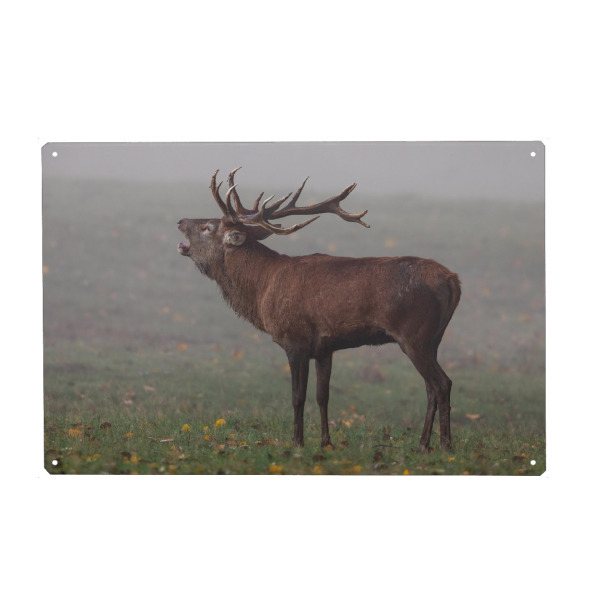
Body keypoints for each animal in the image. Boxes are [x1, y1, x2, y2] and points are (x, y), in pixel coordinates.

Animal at [177, 168, 461, 452]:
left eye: (208, 227)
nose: (180, 221)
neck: (263, 289)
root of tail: (453, 280)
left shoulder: (295, 338)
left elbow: (297, 396)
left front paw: (297, 442)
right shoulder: (325, 347)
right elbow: (322, 395)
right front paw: (326, 441)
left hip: (414, 334)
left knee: (442, 383)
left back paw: (445, 445)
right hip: (433, 338)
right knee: (430, 387)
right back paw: (423, 444)